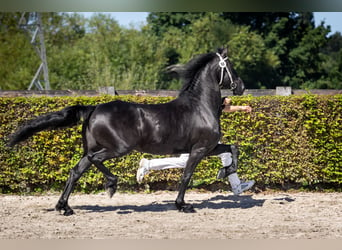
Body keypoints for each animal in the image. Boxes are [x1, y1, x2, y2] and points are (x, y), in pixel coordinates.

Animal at [9, 48, 244, 215]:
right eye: (230, 66)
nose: (240, 86)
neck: (200, 107)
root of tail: (93, 108)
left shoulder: (209, 147)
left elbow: (232, 148)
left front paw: (226, 171)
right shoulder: (198, 149)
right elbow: (186, 175)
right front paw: (182, 205)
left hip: (93, 149)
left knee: (76, 171)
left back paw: (64, 208)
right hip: (118, 148)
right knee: (95, 160)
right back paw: (111, 185)